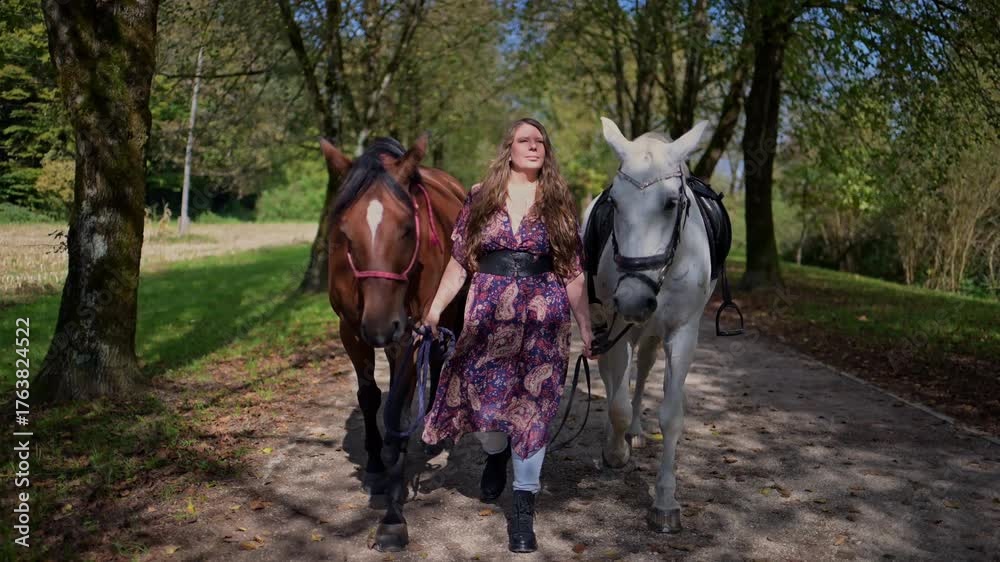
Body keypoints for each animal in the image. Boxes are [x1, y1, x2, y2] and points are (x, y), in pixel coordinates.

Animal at [322, 135, 468, 551]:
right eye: (345, 232)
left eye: (406, 227)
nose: (381, 325)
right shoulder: (351, 331)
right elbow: (370, 397)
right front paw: (375, 466)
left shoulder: (413, 335)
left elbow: (398, 406)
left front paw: (392, 517)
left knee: (438, 365)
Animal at [582, 117, 713, 534]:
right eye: (614, 203)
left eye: (671, 203)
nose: (634, 299)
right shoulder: (616, 322)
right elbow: (617, 403)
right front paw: (615, 450)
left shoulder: (683, 332)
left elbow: (671, 416)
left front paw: (666, 501)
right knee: (613, 378)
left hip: (651, 331)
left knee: (643, 368)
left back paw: (637, 432)